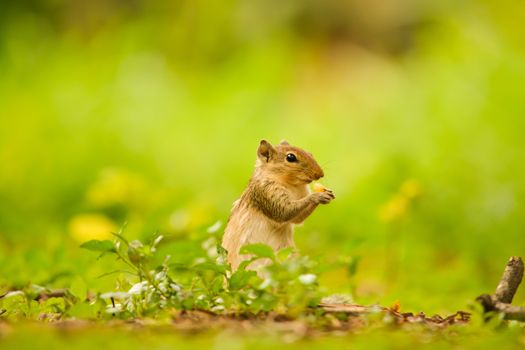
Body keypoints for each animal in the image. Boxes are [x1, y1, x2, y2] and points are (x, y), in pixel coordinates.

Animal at [219, 139, 334, 270]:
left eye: (310, 153)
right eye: (290, 157)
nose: (320, 174)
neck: (292, 184)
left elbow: (297, 219)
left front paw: (327, 194)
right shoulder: (266, 192)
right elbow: (283, 212)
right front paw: (316, 196)